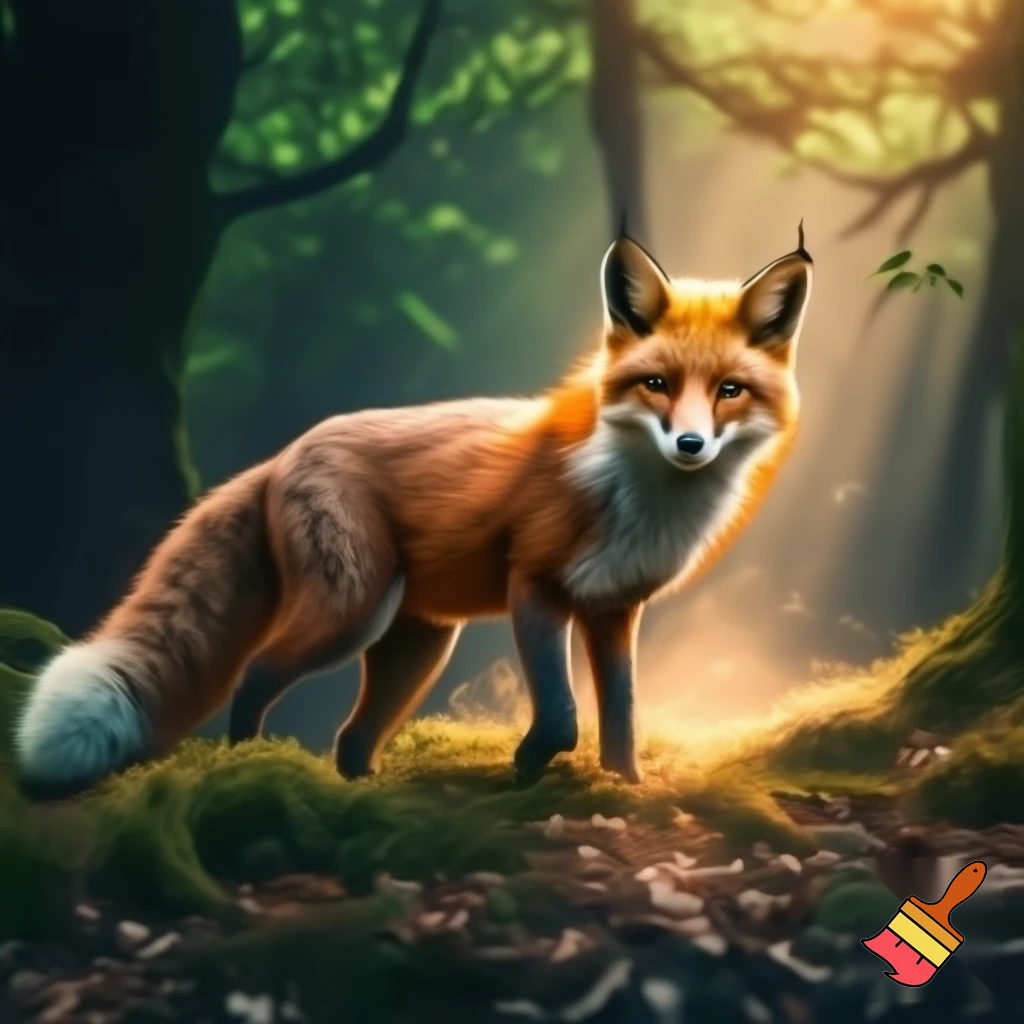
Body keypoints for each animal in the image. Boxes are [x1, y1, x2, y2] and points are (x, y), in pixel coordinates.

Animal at [14, 227, 812, 799]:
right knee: (258, 673)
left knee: (351, 736)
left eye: (730, 391)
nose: (689, 444)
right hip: (353, 611)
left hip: (418, 644)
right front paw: (529, 767)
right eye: (656, 384)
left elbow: (621, 719)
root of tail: (285, 452)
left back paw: (364, 792)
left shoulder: (615, 609)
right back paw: (246, 768)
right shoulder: (535, 585)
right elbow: (561, 716)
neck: (639, 496)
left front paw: (624, 790)